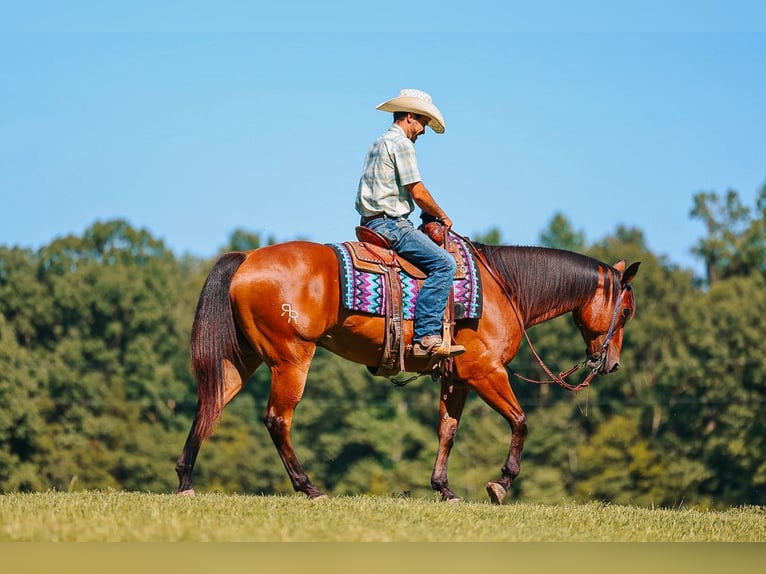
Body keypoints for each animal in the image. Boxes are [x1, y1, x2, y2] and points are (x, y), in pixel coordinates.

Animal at [175, 237, 639, 504]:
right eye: (627, 311)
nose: (611, 363)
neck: (503, 288)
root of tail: (247, 257)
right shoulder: (486, 372)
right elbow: (521, 420)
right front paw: (501, 483)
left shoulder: (456, 378)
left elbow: (447, 430)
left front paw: (444, 488)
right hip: (291, 358)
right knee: (277, 420)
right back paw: (309, 487)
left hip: (244, 359)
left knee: (210, 408)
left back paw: (184, 480)